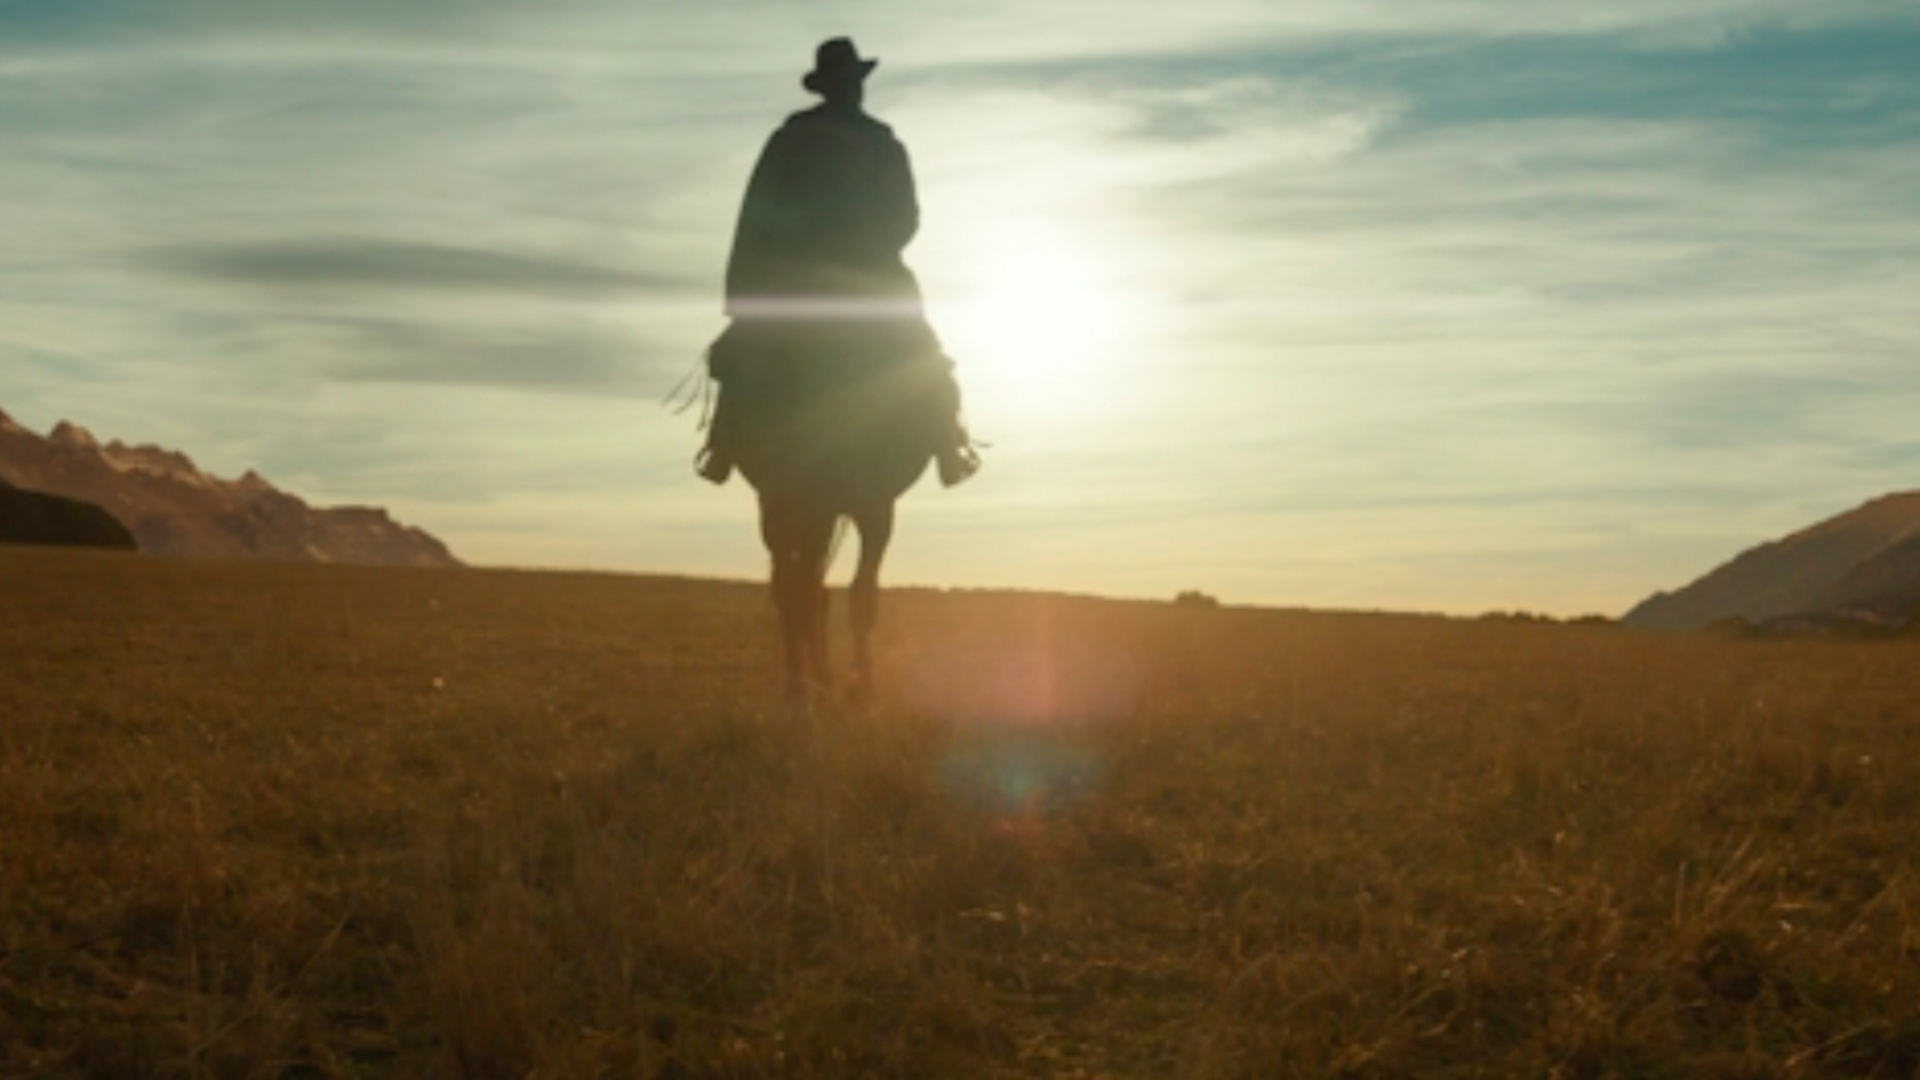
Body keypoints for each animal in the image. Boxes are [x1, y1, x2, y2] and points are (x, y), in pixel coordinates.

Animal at [722, 321, 957, 715]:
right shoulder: (874, 505)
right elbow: (862, 593)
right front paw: (862, 688)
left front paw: (843, 685)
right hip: (806, 504)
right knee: (801, 587)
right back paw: (809, 686)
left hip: (796, 505)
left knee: (801, 587)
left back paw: (806, 685)